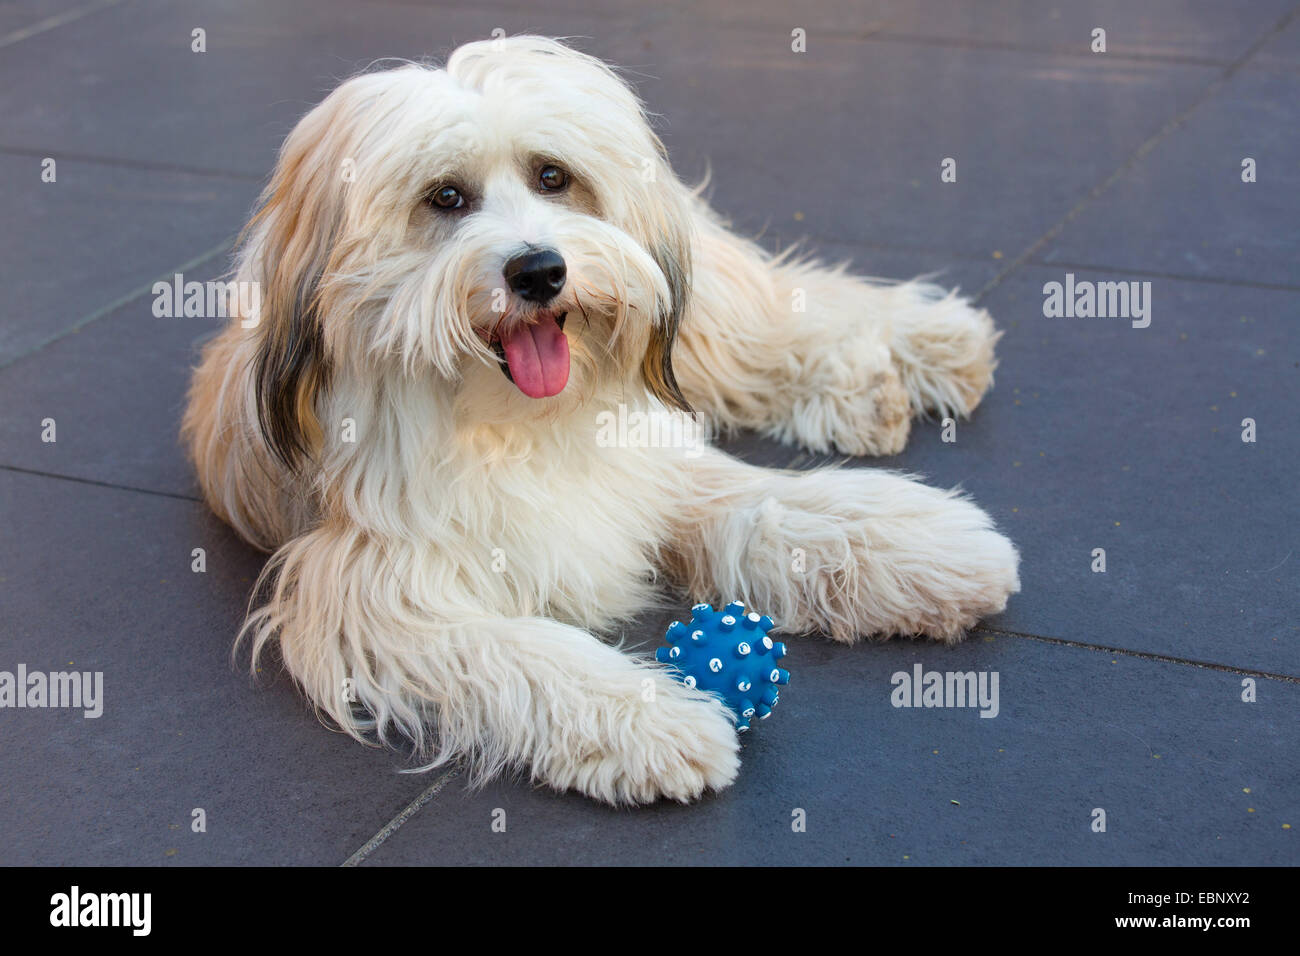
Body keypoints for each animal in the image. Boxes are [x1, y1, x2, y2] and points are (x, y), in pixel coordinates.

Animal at [183, 33, 1019, 806]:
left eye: (552, 176)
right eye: (444, 197)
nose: (538, 271)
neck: (516, 422)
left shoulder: (648, 469)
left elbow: (772, 504)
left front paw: (927, 549)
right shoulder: (376, 594)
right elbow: (525, 652)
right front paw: (647, 721)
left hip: (693, 309)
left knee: (773, 311)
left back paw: (926, 348)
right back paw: (870, 383)